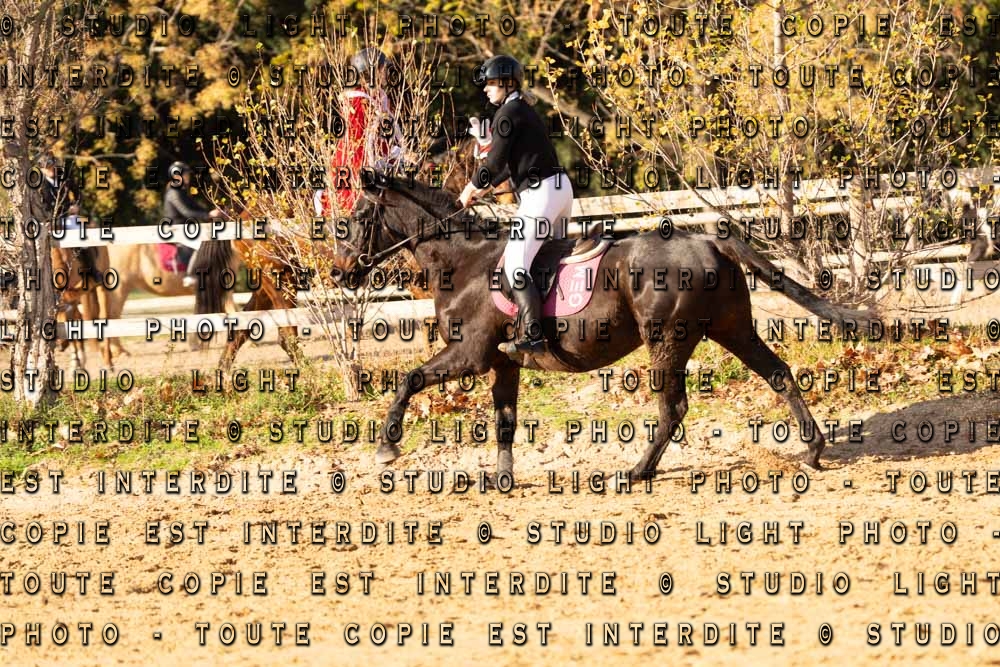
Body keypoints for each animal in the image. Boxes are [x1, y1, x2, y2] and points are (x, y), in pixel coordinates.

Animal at [329, 173, 880, 483]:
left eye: (360, 213)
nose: (339, 272)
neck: (462, 262)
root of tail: (708, 240)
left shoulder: (471, 356)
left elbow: (408, 381)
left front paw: (387, 447)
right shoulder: (504, 363)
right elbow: (505, 421)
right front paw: (502, 480)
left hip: (667, 339)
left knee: (673, 407)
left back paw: (637, 472)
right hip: (733, 328)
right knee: (778, 374)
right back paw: (812, 451)